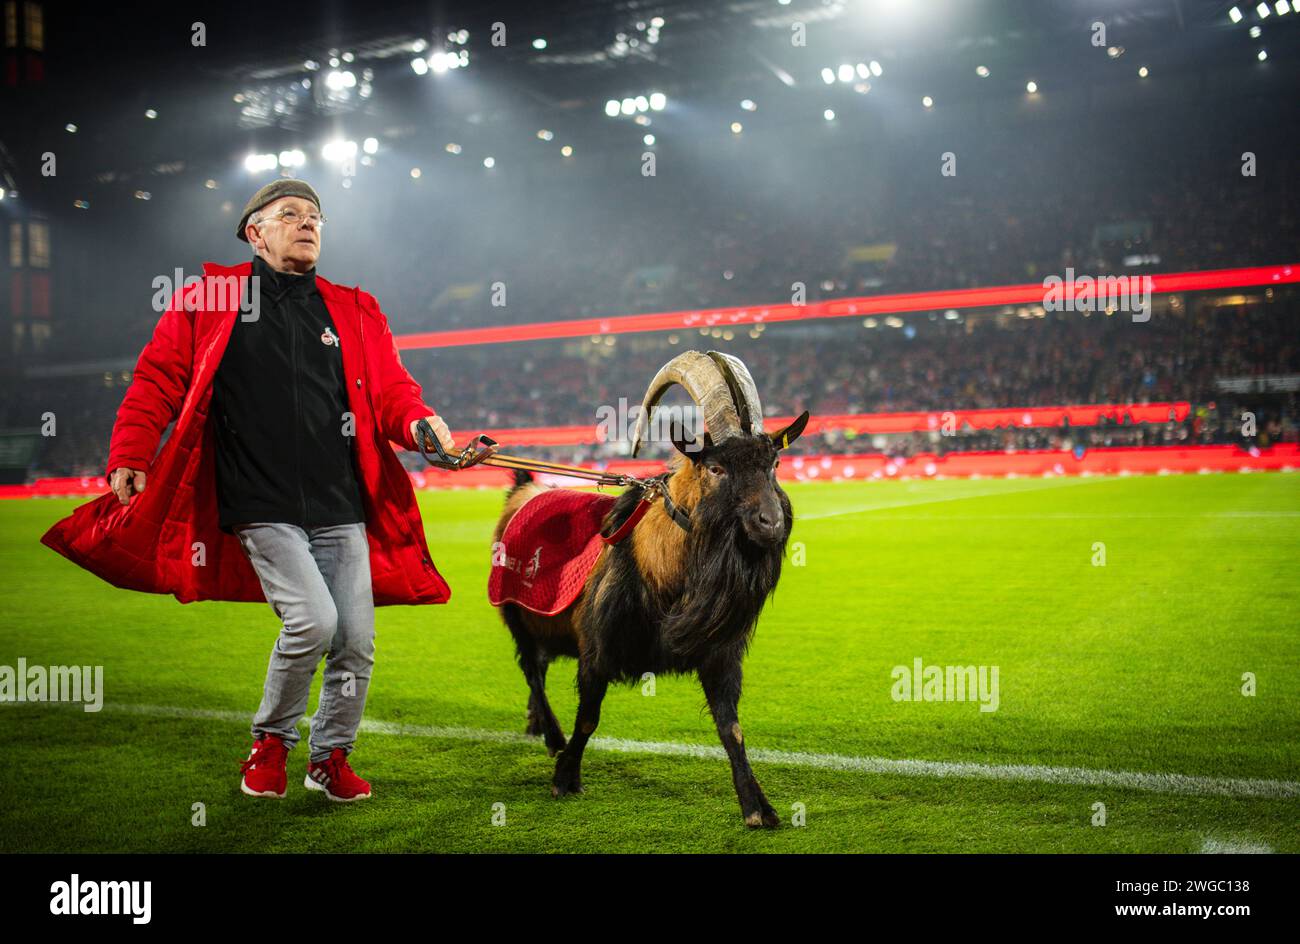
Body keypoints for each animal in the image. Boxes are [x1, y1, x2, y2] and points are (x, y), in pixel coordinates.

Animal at [491, 353, 806, 826]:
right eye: (716, 467)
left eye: (774, 465)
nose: (771, 522)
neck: (658, 571)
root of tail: (523, 488)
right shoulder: (596, 650)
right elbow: (589, 718)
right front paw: (565, 778)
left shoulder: (719, 655)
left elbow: (731, 728)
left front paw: (758, 808)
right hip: (515, 615)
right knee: (532, 669)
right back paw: (552, 735)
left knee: (538, 671)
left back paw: (536, 725)